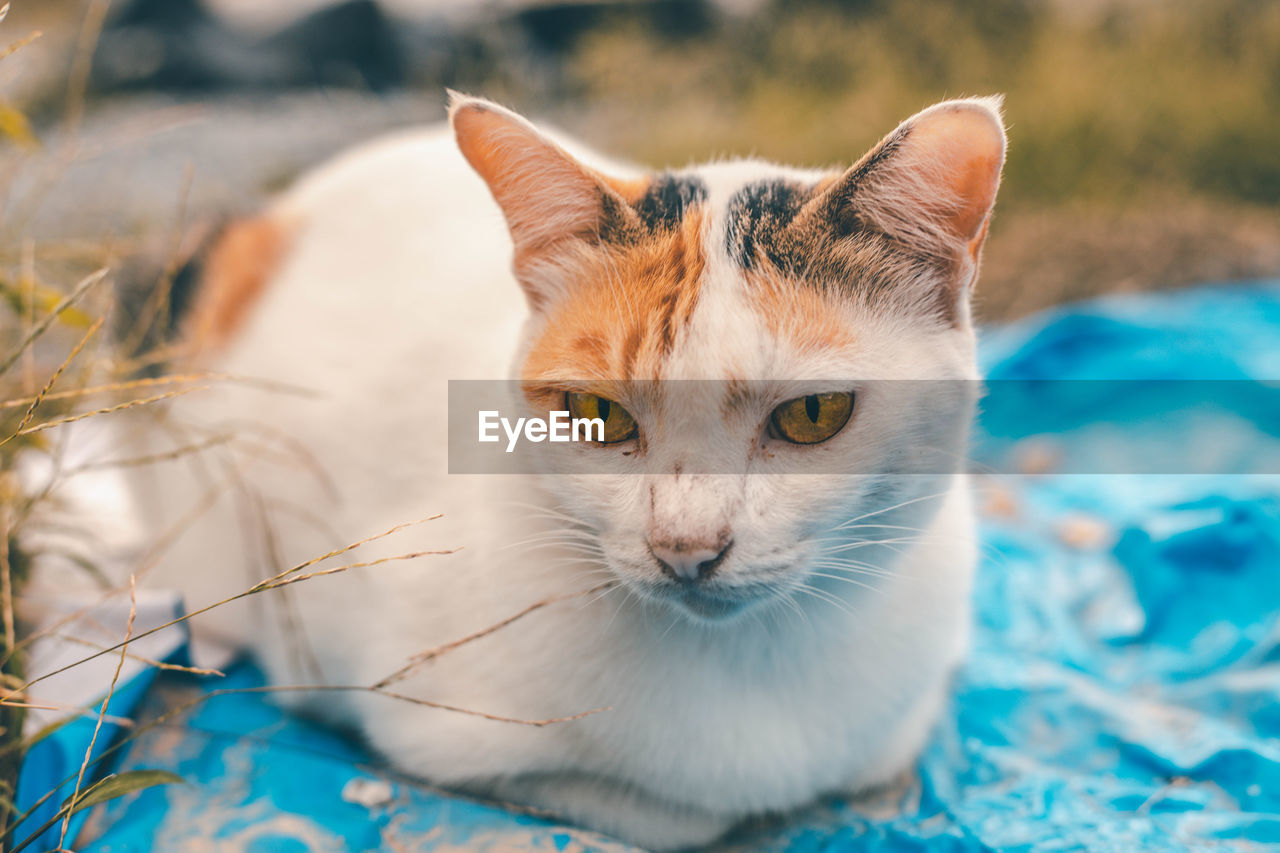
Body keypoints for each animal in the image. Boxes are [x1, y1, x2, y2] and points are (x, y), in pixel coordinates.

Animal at [27, 89, 998, 845]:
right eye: (598, 415)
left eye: (811, 414)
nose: (686, 548)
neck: (755, 667)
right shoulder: (395, 704)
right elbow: (671, 813)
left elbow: (877, 761)